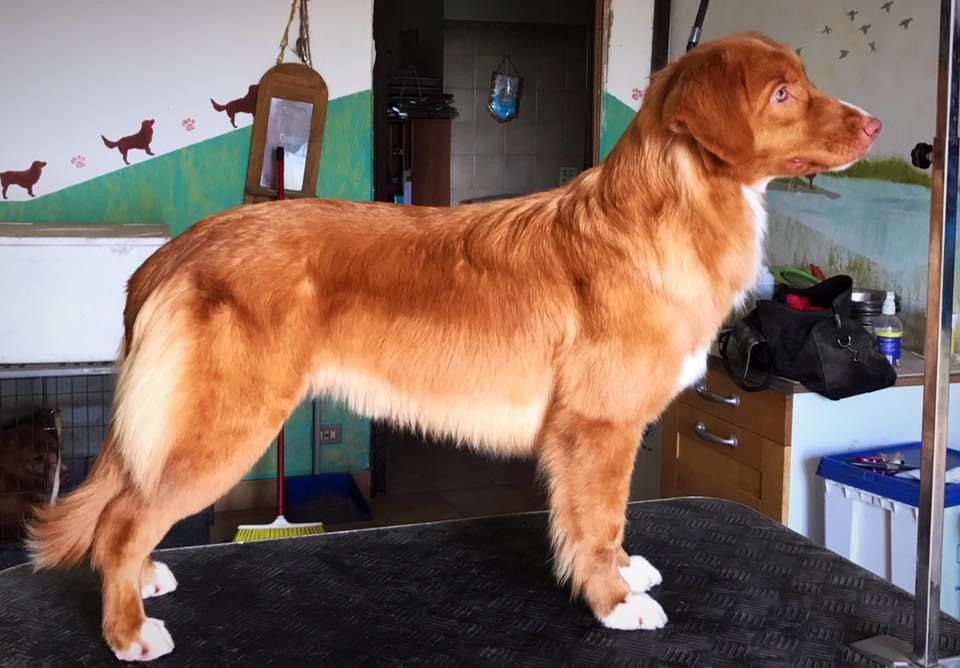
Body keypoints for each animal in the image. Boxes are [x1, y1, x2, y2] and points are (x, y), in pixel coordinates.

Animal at [27, 33, 880, 661]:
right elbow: (597, 523)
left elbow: (606, 524)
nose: (874, 126)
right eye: (782, 94)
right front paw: (613, 603)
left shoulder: (604, 435)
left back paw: (143, 581)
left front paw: (621, 576)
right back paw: (128, 632)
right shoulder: (597, 429)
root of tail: (171, 254)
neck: (665, 210)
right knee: (122, 521)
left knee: (123, 512)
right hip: (226, 426)